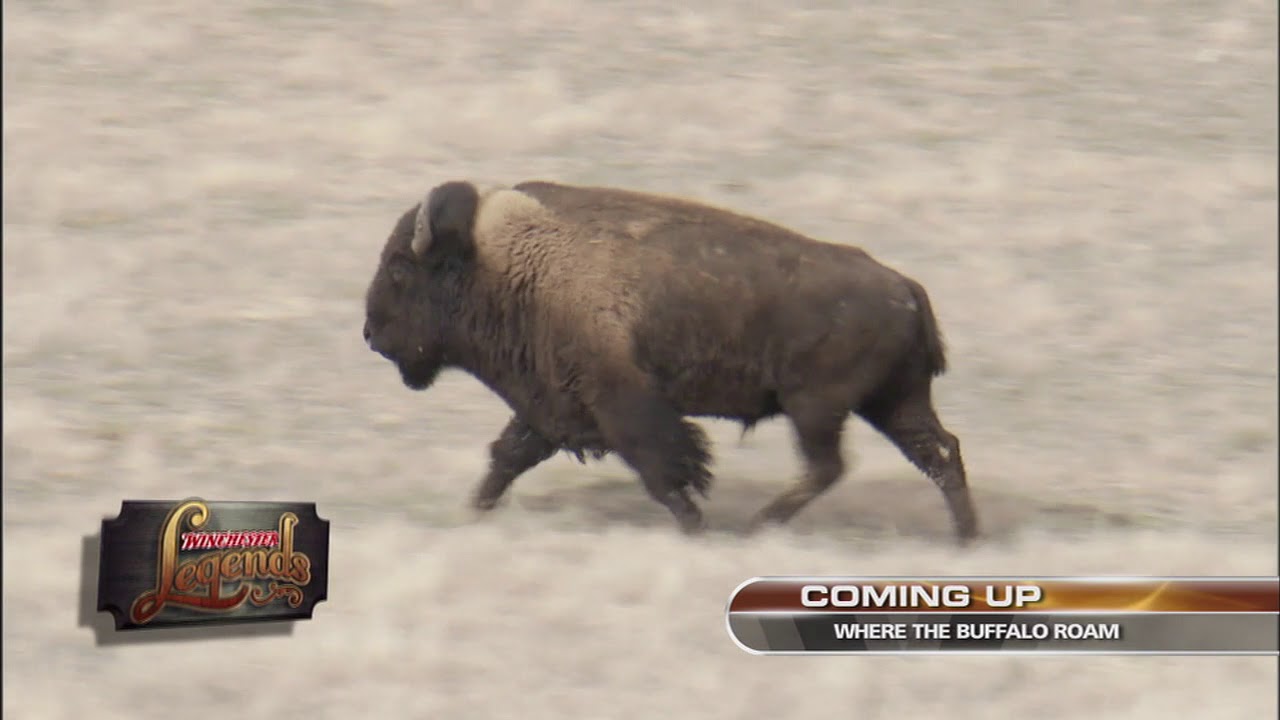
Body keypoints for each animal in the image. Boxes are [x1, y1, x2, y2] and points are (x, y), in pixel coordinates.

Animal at [363, 179, 979, 543]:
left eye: (399, 268)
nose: (371, 333)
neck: (508, 262)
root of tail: (906, 288)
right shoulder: (549, 406)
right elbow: (506, 457)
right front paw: (470, 512)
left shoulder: (622, 405)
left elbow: (664, 472)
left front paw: (698, 529)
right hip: (891, 402)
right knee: (938, 454)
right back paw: (966, 539)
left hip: (817, 407)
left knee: (829, 466)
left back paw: (756, 527)